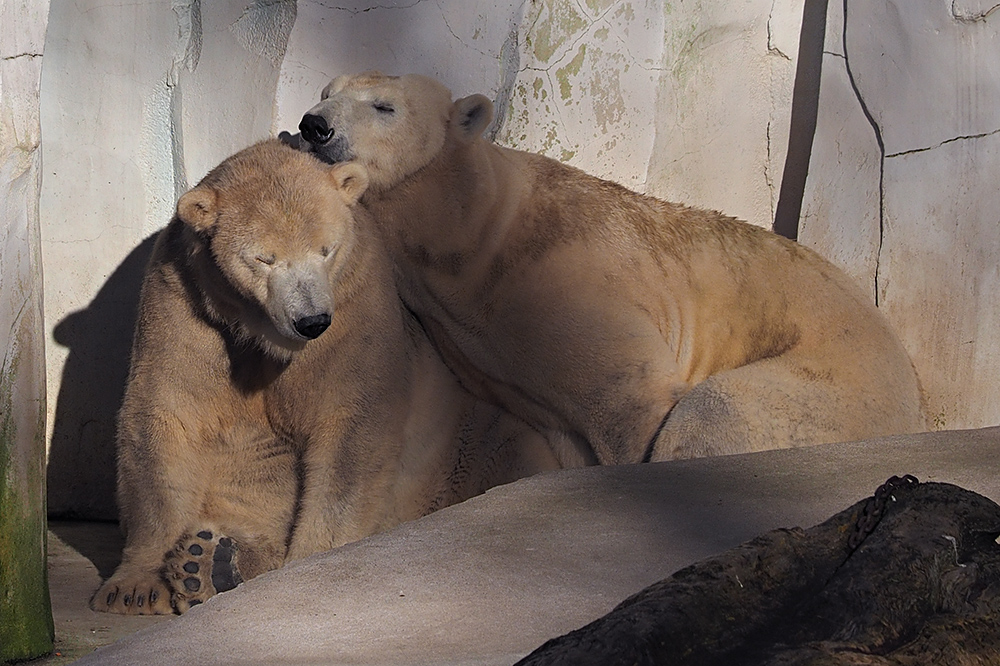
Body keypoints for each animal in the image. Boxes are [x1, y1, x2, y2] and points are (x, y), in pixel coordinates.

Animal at [90, 139, 560, 612]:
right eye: (264, 258)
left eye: (326, 250)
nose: (311, 321)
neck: (264, 336)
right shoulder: (184, 301)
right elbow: (166, 416)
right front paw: (134, 587)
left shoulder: (356, 303)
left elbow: (350, 429)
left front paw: (311, 564)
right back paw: (208, 562)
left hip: (465, 439)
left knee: (512, 453)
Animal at [292, 71, 924, 466]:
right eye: (326, 91)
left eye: (384, 106)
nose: (313, 125)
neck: (476, 231)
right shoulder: (490, 348)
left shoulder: (570, 283)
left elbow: (633, 397)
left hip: (836, 387)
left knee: (723, 407)